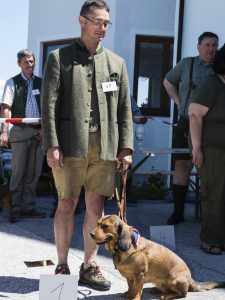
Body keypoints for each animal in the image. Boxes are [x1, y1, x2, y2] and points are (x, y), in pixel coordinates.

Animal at [90, 214, 225, 300]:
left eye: (105, 226)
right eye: (97, 224)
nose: (90, 234)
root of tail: (190, 279)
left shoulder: (139, 275)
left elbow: (137, 290)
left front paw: (134, 298)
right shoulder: (129, 276)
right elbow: (131, 287)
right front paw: (129, 294)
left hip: (175, 280)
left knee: (183, 294)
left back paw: (167, 295)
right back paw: (157, 289)